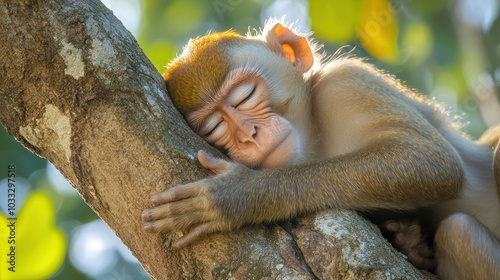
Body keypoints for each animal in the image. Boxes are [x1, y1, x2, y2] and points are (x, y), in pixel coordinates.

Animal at [142, 20, 500, 280]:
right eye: (215, 128)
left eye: (245, 95)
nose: (248, 135)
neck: (316, 140)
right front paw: (410, 240)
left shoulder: (346, 81)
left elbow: (432, 160)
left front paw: (239, 194)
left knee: (458, 231)